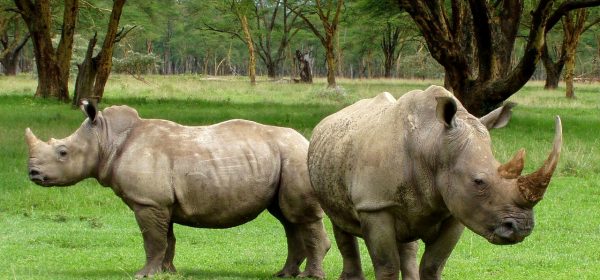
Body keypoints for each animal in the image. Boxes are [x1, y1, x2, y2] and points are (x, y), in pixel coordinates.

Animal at [25, 101, 330, 278]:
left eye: (62, 152)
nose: (32, 174)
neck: (106, 139)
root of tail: (307, 140)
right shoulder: (160, 202)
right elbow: (167, 239)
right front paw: (167, 272)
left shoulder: (147, 201)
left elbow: (152, 240)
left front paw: (144, 275)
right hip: (284, 159)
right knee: (288, 218)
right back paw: (284, 274)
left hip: (294, 157)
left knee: (299, 216)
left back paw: (309, 277)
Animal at [310, 86, 564, 280]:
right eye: (478, 181)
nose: (522, 228)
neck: (432, 143)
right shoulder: (374, 204)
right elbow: (387, 266)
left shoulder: (456, 211)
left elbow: (433, 265)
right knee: (340, 222)